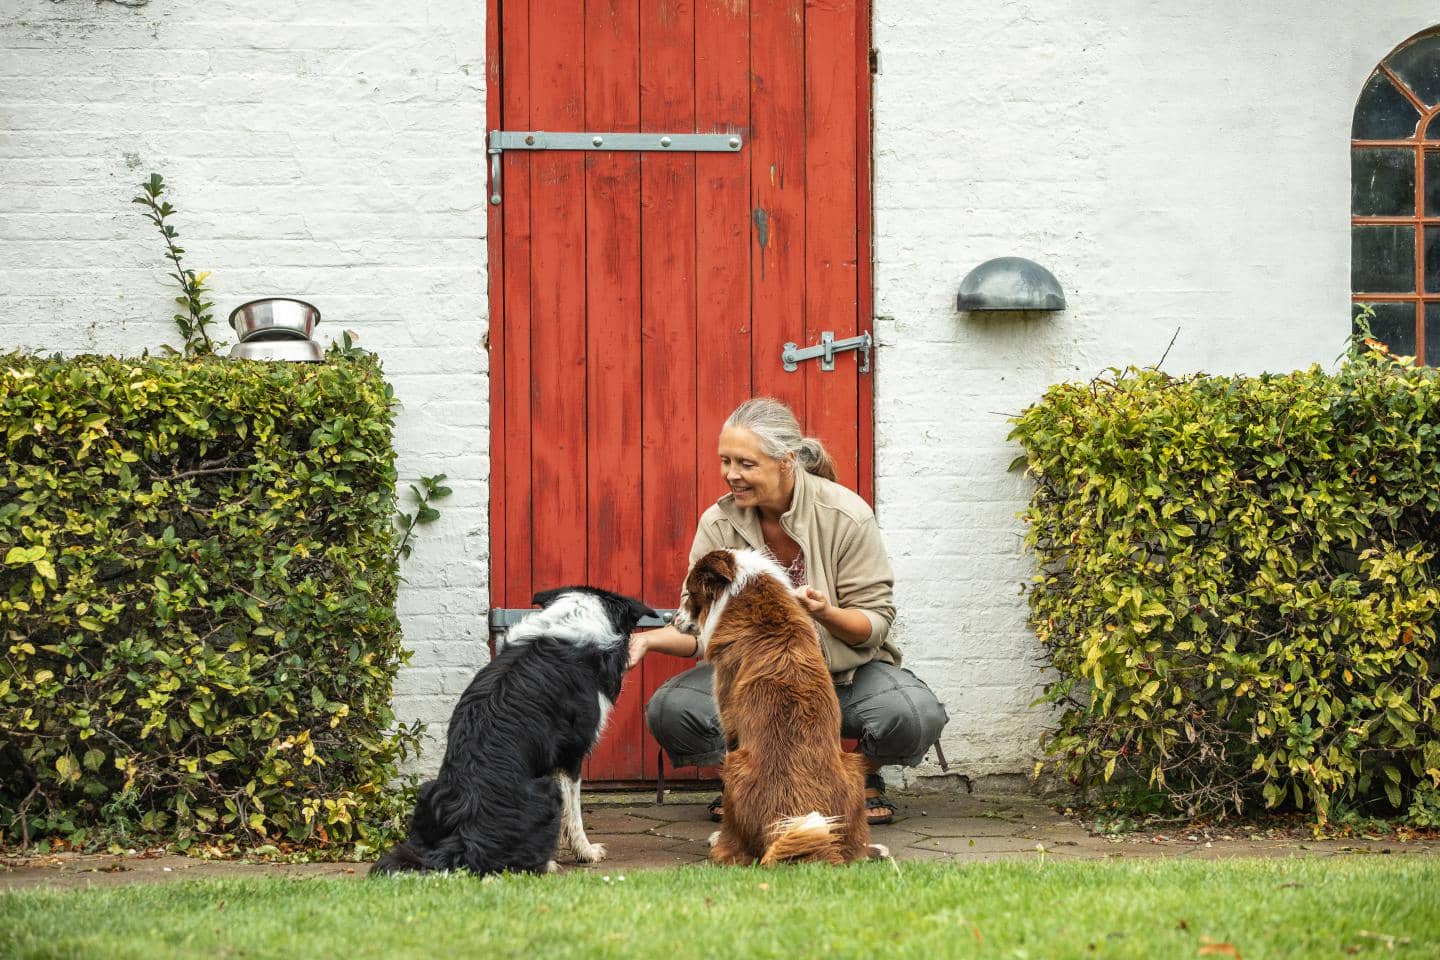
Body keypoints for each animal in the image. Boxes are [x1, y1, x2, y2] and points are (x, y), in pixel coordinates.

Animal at [368, 587, 656, 880]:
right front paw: (586, 852)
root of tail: (463, 837)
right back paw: (547, 864)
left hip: (428, 792)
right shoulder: (571, 754)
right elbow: (573, 812)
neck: (572, 620)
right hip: (547, 790)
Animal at [679, 544, 869, 869]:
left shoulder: (729, 721)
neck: (749, 592)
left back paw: (721, 844)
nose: (671, 620)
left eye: (689, 594)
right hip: (853, 766)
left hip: (733, 767)